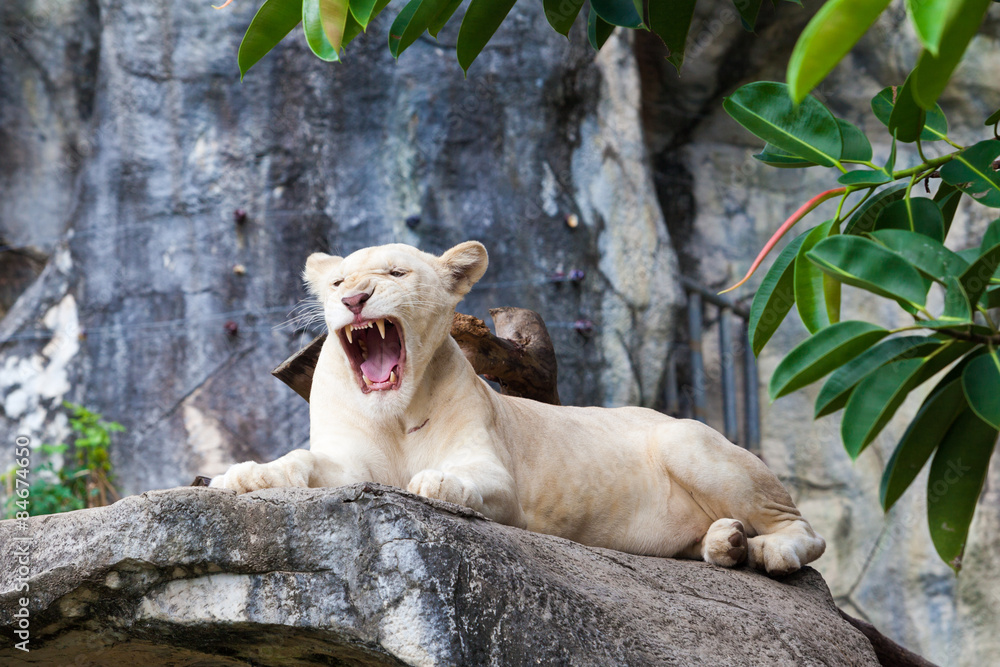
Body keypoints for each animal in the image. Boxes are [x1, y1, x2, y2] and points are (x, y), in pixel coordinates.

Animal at [211, 241, 825, 575]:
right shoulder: (347, 462)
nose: (353, 299)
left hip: (688, 439)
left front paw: (434, 482)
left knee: (804, 530)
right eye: (338, 280)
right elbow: (300, 463)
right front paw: (243, 476)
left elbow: (463, 479)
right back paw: (727, 542)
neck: (395, 412)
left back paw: (768, 550)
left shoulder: (499, 478)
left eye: (395, 273)